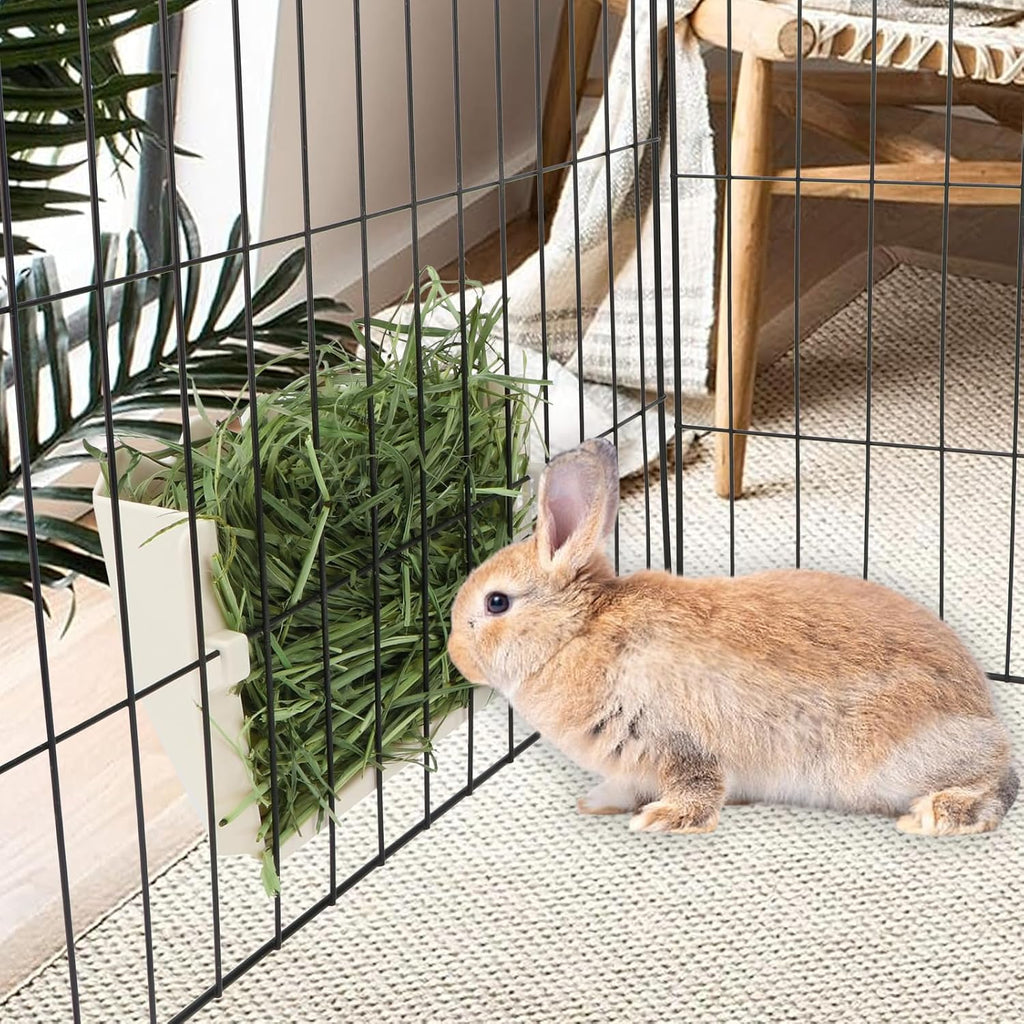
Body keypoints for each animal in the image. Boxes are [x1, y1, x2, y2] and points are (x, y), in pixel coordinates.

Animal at [447, 437, 1019, 837]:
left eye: (496, 603)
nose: (456, 657)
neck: (574, 634)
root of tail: (984, 713)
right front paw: (595, 804)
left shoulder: (674, 739)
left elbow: (697, 787)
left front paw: (662, 821)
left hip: (898, 757)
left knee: (998, 783)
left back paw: (933, 816)